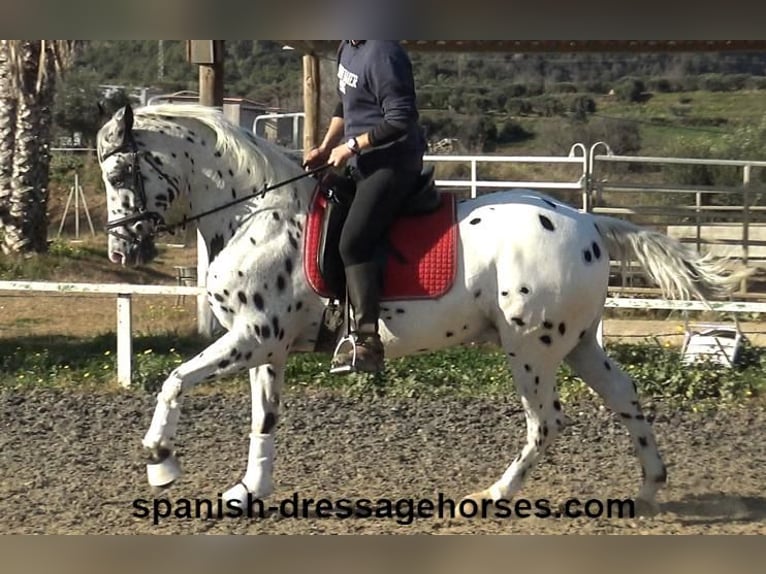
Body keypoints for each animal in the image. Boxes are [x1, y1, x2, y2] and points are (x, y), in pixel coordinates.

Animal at [96, 102, 752, 516]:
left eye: (123, 169)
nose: (121, 249)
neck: (259, 212)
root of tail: (589, 221)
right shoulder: (267, 345)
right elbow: (264, 419)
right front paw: (248, 491)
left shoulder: (252, 337)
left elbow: (174, 381)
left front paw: (161, 462)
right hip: (579, 342)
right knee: (624, 396)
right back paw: (648, 490)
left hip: (531, 349)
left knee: (546, 423)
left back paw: (493, 496)